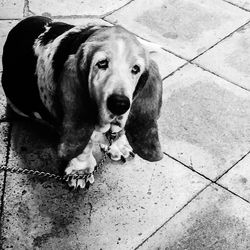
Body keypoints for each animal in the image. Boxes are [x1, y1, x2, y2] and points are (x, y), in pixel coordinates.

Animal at [1, 16, 164, 188]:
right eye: (102, 63)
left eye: (135, 69)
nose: (120, 105)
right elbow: (85, 145)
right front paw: (80, 171)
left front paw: (119, 145)